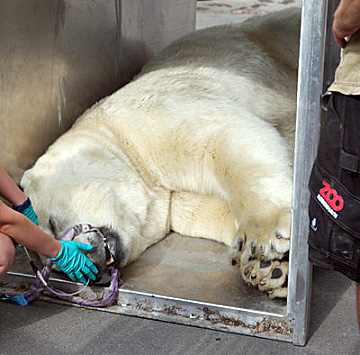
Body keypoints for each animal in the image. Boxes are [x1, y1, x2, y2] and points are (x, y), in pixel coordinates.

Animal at [20, 6, 300, 298]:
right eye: (57, 267)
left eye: (52, 225)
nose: (93, 273)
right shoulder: (171, 201)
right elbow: (207, 210)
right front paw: (270, 269)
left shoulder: (152, 119)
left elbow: (227, 137)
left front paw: (267, 237)